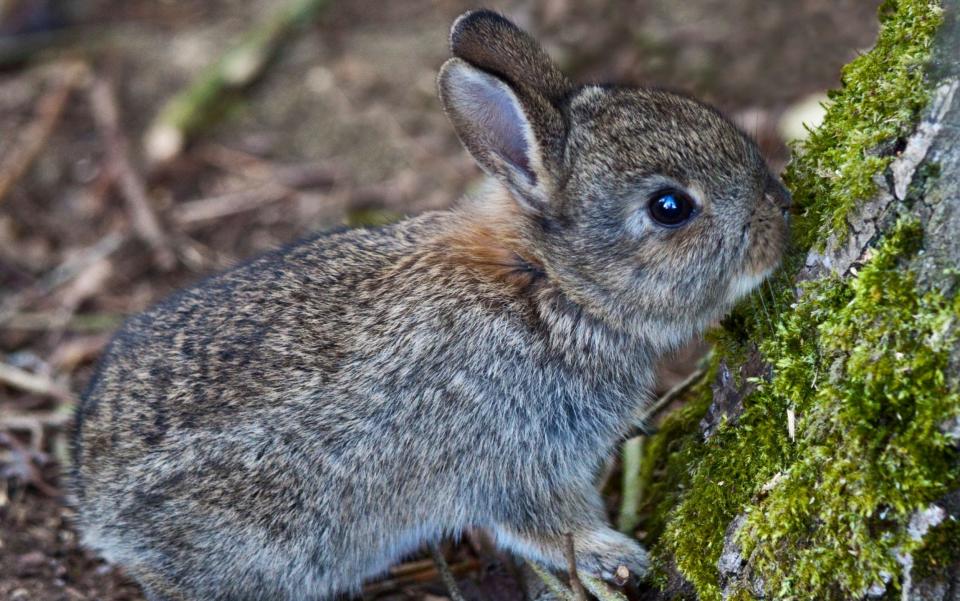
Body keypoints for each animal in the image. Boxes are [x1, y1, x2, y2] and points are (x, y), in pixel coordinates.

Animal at [71, 9, 792, 600]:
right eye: (670, 207)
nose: (781, 212)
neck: (551, 285)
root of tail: (93, 507)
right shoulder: (516, 452)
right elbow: (546, 522)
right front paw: (616, 555)